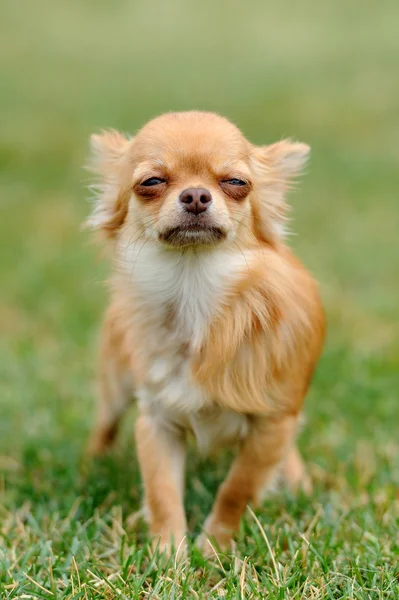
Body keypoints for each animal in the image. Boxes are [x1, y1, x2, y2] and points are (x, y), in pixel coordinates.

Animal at [86, 110, 326, 556]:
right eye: (151, 182)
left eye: (236, 182)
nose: (196, 195)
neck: (193, 290)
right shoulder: (157, 420)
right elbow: (162, 493)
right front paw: (169, 555)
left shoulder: (273, 425)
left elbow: (237, 489)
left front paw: (214, 547)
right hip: (116, 382)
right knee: (105, 422)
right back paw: (90, 464)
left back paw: (296, 483)